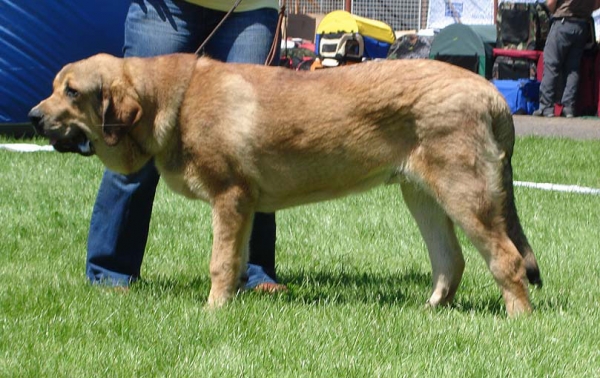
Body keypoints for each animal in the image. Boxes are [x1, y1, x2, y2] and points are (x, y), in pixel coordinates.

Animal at [29, 53, 544, 316]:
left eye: (72, 92)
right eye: (54, 87)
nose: (33, 116)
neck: (168, 100)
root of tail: (493, 93)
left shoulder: (229, 197)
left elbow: (219, 261)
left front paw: (212, 311)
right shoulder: (243, 207)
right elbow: (236, 260)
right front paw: (232, 302)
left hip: (466, 196)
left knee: (507, 260)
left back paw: (517, 319)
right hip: (422, 196)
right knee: (450, 261)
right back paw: (431, 309)